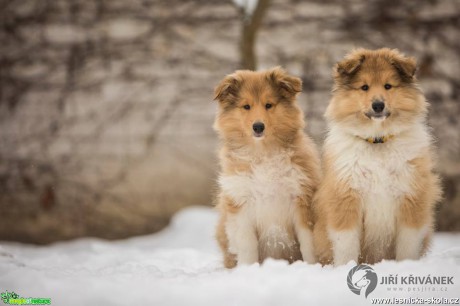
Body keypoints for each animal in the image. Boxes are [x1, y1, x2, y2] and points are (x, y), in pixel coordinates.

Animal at [213, 66, 318, 268]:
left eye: (269, 105)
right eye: (246, 106)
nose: (258, 127)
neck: (262, 153)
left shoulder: (301, 199)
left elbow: (308, 243)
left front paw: (313, 267)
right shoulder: (241, 204)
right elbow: (247, 246)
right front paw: (249, 269)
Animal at [312, 47, 442, 266]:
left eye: (388, 86)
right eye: (364, 87)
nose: (378, 105)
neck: (378, 141)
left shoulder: (411, 199)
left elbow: (407, 245)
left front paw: (405, 266)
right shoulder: (346, 199)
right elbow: (346, 245)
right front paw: (346, 268)